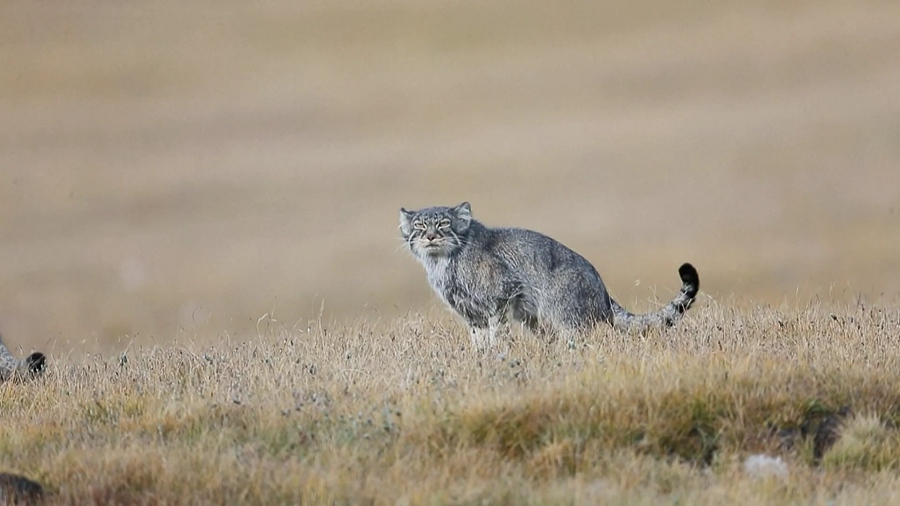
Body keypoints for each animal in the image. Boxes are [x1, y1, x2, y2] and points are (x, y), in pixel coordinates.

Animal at [400, 202, 704, 348]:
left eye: (443, 224)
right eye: (419, 226)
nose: (429, 236)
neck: (445, 263)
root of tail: (603, 291)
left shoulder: (502, 296)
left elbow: (497, 334)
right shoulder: (470, 313)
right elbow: (478, 340)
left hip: (564, 316)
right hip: (535, 320)